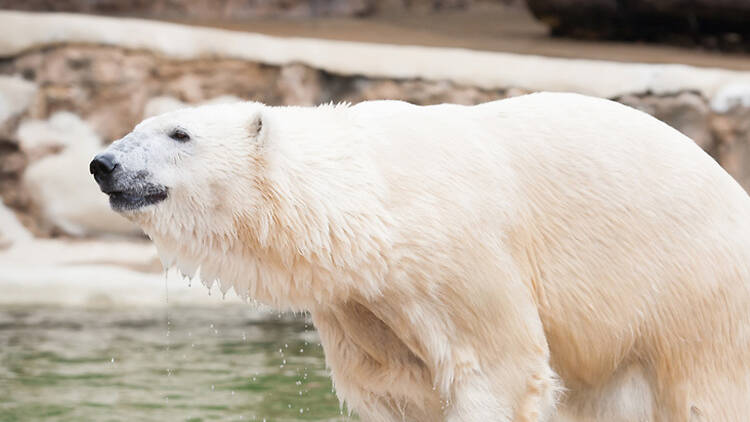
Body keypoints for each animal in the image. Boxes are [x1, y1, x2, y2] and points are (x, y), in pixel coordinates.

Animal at [92, 93, 750, 422]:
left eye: (179, 135)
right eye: (140, 125)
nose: (104, 163)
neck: (377, 198)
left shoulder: (461, 255)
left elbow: (499, 369)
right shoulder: (361, 302)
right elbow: (394, 389)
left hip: (695, 300)